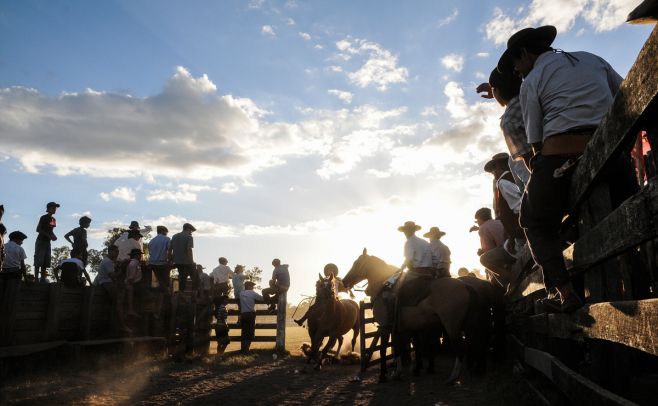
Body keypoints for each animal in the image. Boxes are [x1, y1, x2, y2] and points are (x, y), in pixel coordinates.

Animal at [340, 247, 480, 384]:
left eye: (356, 263)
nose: (344, 281)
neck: (383, 287)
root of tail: (465, 285)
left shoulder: (384, 327)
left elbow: (383, 350)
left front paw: (382, 375)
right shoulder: (402, 329)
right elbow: (398, 347)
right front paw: (397, 372)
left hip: (452, 327)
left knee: (459, 348)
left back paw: (453, 376)